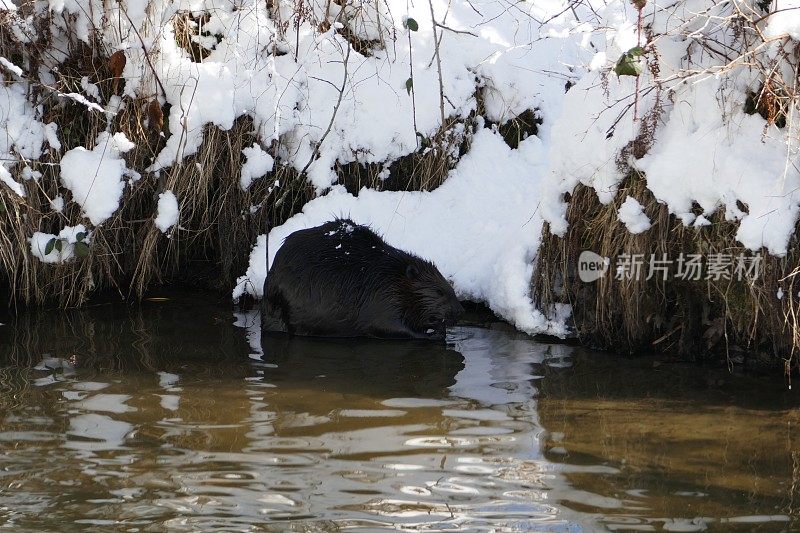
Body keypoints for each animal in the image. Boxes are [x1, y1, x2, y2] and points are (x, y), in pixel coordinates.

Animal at [262, 217, 462, 338]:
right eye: (439, 291)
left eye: (450, 288)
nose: (459, 312)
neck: (389, 275)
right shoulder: (383, 299)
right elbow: (388, 326)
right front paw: (434, 333)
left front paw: (439, 327)